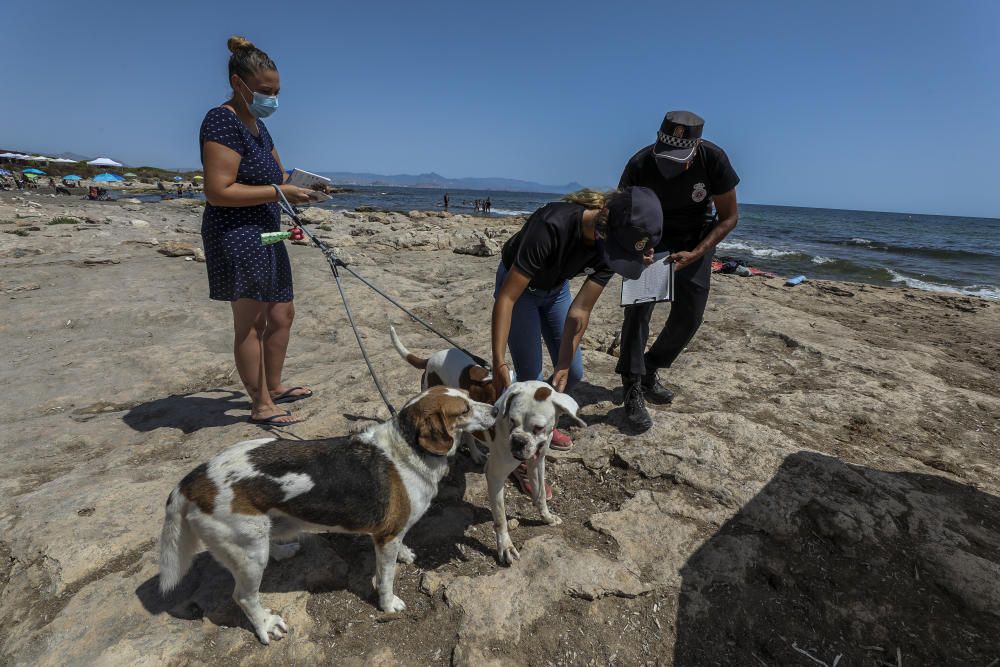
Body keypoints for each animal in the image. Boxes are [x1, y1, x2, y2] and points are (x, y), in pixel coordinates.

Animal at [157, 386, 496, 648]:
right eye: (464, 409)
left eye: (469, 396)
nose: (495, 409)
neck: (408, 447)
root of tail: (192, 480)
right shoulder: (386, 537)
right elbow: (386, 578)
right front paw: (388, 604)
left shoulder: (391, 533)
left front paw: (405, 554)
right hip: (248, 555)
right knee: (243, 597)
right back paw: (266, 626)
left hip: (254, 538)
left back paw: (281, 549)